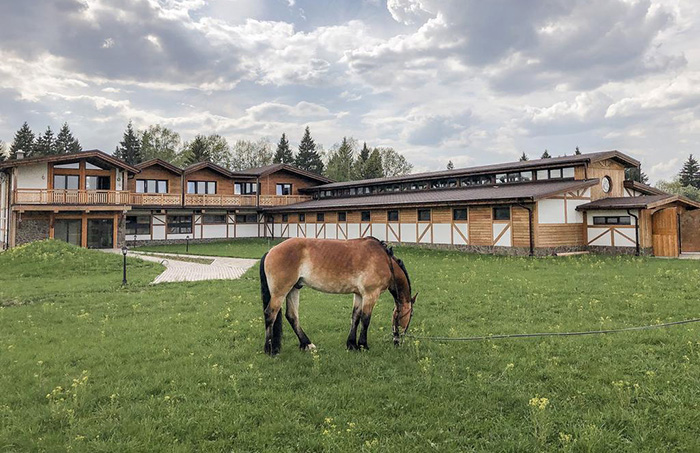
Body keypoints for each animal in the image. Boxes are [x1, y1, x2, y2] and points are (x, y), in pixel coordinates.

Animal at [262, 235, 416, 354]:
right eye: (410, 316)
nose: (398, 341)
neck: (384, 260)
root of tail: (271, 251)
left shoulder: (359, 295)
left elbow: (356, 317)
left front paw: (352, 345)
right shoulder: (370, 294)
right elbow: (365, 319)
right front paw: (363, 345)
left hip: (293, 289)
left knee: (292, 316)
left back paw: (306, 344)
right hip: (280, 292)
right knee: (270, 314)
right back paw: (270, 349)